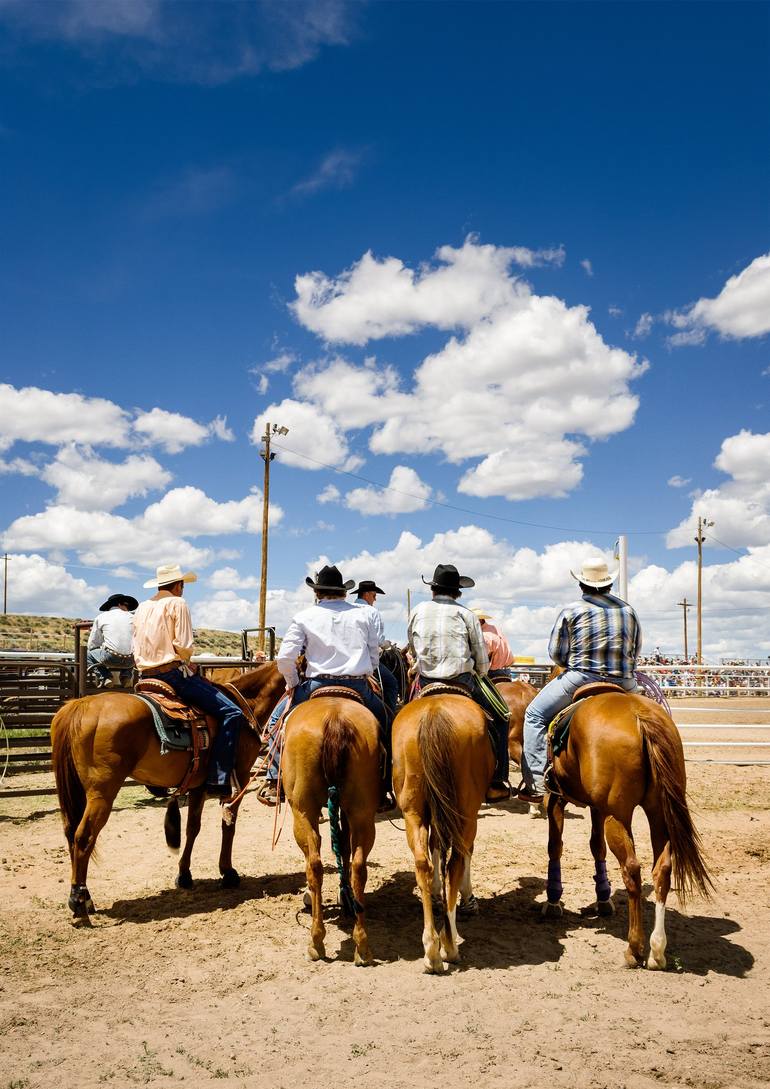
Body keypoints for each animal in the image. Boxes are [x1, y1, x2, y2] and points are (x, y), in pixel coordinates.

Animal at [51, 657, 285, 923]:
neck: (244, 703)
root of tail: (80, 705)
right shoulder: (241, 778)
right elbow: (229, 826)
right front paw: (228, 872)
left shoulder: (198, 786)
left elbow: (192, 828)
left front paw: (184, 875)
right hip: (101, 793)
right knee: (83, 837)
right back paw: (78, 901)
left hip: (77, 790)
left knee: (70, 832)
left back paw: (85, 897)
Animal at [280, 692, 381, 967]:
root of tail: (335, 720)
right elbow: (344, 847)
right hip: (361, 811)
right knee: (358, 866)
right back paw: (362, 946)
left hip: (302, 810)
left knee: (314, 864)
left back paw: (316, 941)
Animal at [392, 692, 494, 975]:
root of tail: (433, 713)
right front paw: (468, 898)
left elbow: (435, 846)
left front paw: (436, 891)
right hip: (467, 812)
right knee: (457, 859)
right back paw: (449, 945)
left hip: (413, 810)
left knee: (422, 862)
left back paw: (431, 950)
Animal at [544, 688, 714, 971]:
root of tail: (640, 716)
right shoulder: (597, 807)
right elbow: (596, 847)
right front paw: (603, 898)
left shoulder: (556, 798)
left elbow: (555, 846)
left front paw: (553, 900)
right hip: (658, 813)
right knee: (662, 869)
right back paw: (657, 951)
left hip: (618, 816)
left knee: (632, 869)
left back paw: (634, 949)